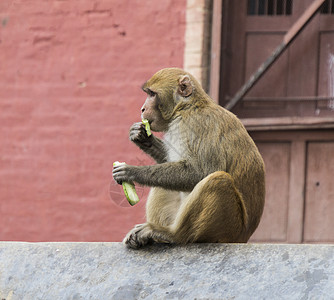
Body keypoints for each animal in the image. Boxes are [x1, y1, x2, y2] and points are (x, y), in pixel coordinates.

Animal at [113, 68, 264, 248]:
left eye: (152, 94)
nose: (142, 109)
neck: (187, 106)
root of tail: (243, 237)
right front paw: (141, 136)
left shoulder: (194, 124)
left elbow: (201, 172)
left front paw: (132, 172)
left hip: (230, 228)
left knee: (218, 180)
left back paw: (173, 235)